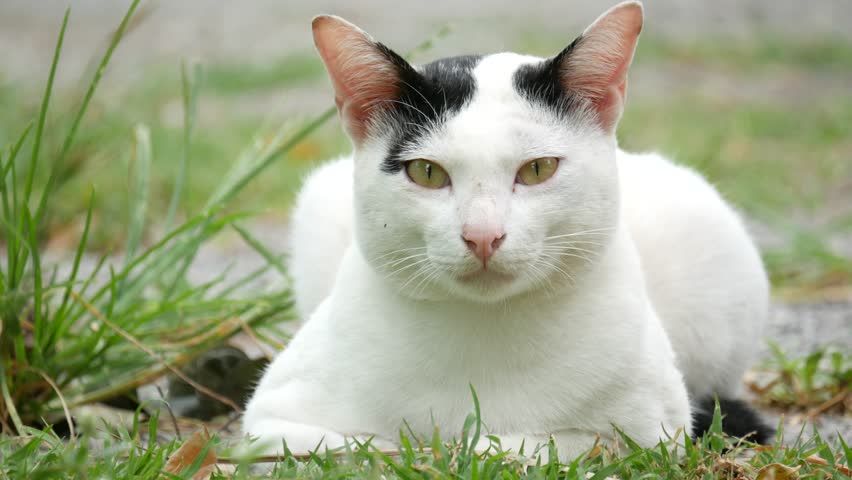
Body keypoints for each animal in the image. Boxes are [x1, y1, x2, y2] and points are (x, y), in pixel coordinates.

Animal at [241, 0, 772, 458]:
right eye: (426, 173)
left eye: (537, 169)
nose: (482, 235)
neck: (484, 336)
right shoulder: (269, 421)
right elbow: (355, 444)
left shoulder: (654, 429)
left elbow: (546, 443)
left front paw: (465, 447)